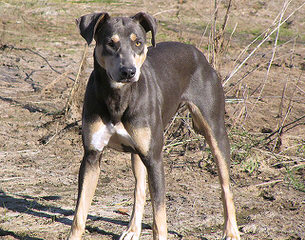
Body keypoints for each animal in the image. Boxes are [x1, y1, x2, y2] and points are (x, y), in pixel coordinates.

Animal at [67, 11, 240, 240]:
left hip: (215, 132)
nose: (128, 71)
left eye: (138, 42)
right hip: (138, 152)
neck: (119, 97)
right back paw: (133, 229)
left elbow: (159, 217)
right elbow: (79, 215)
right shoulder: (91, 157)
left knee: (225, 186)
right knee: (139, 189)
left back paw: (231, 230)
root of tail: (198, 53)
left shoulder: (155, 159)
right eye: (110, 43)